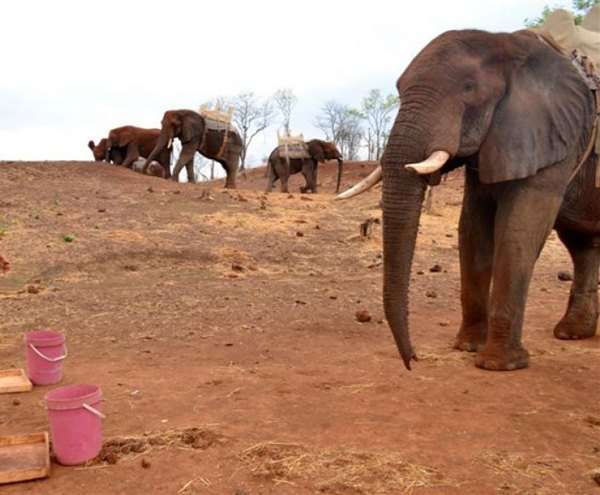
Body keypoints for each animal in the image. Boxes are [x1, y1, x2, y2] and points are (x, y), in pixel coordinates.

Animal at [340, 28, 596, 372]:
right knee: (582, 245)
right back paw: (571, 333)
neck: (508, 45)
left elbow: (519, 229)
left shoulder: (554, 136)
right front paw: (468, 347)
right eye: (399, 89)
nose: (413, 360)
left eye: (469, 88)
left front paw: (500, 364)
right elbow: (473, 229)